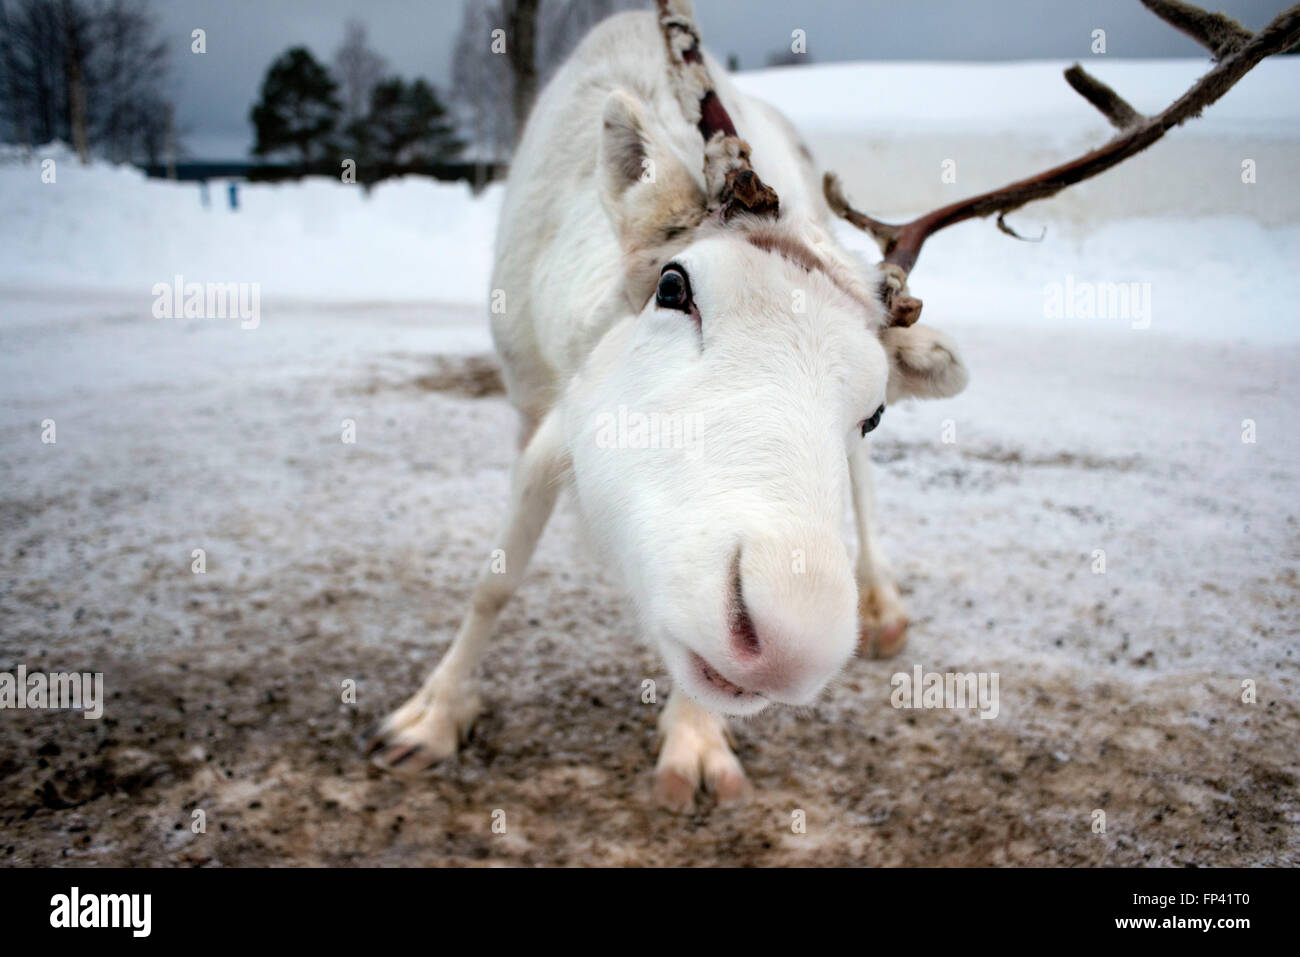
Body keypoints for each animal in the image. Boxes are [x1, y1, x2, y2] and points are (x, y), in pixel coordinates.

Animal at [367, 0, 1300, 811]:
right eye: (673, 286)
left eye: (874, 408)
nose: (787, 643)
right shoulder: (539, 408)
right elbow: (496, 580)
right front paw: (430, 718)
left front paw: (695, 742)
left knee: (863, 491)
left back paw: (883, 603)